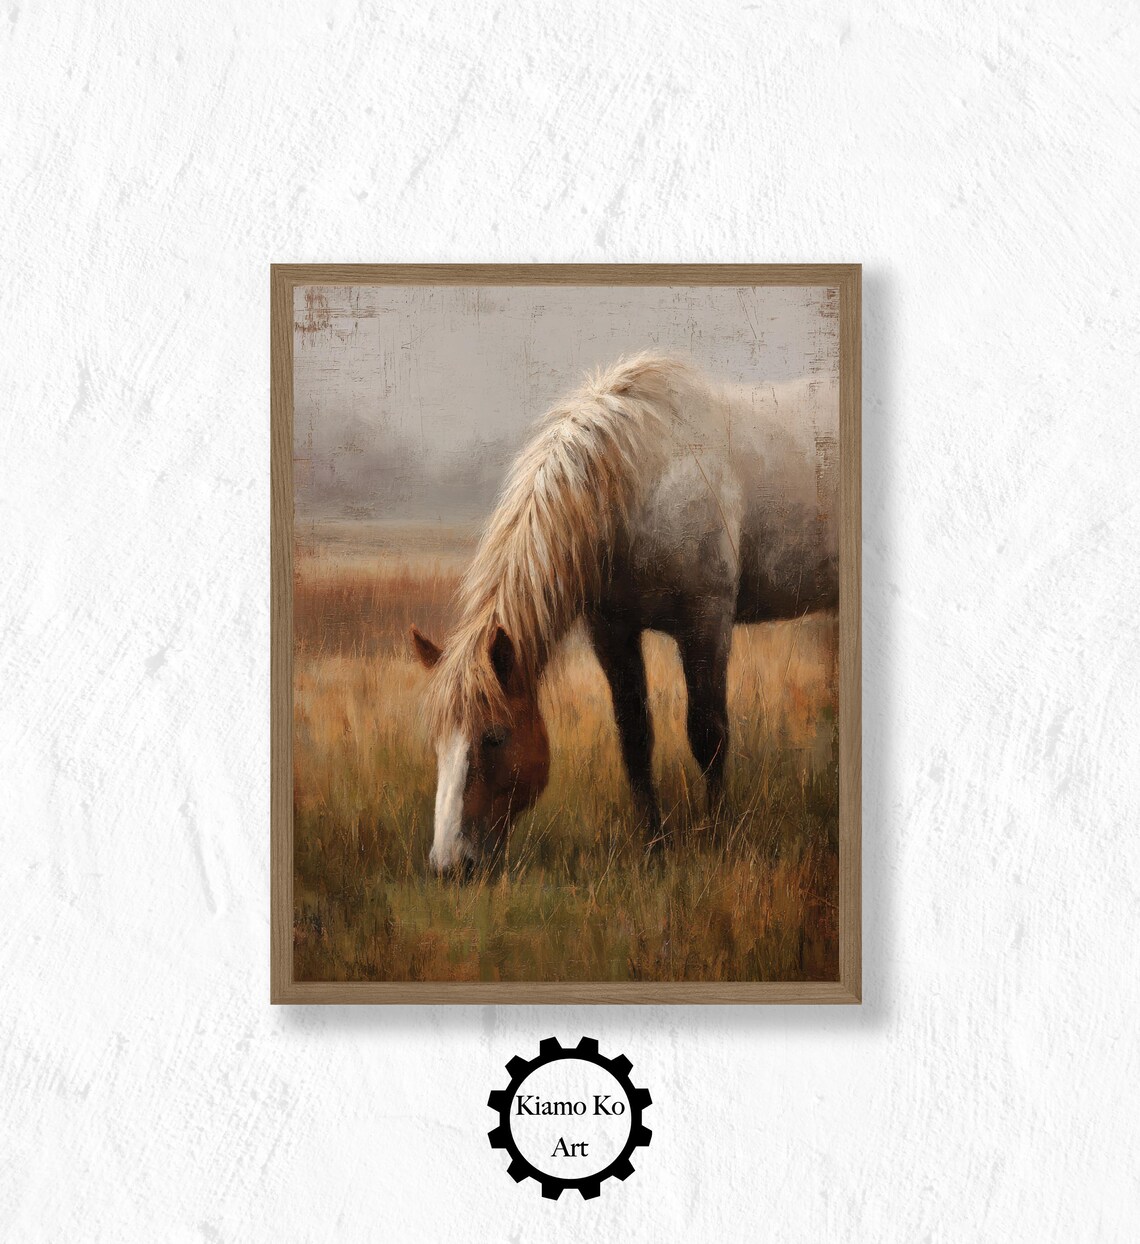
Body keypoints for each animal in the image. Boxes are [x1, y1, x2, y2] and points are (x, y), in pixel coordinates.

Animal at [411, 353, 839, 875]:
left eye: (494, 737)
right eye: (437, 744)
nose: (448, 866)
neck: (643, 478)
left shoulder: (706, 622)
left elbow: (708, 733)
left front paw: (718, 840)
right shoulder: (611, 632)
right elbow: (635, 738)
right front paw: (654, 846)